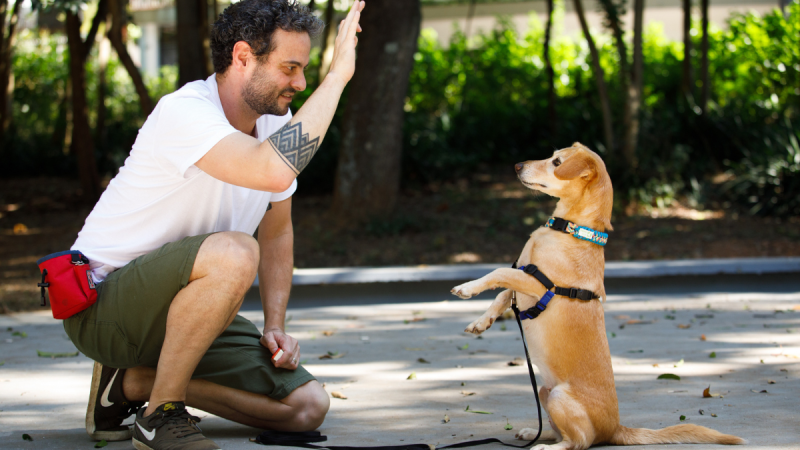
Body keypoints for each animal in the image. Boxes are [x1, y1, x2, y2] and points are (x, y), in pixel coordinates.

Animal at [450, 144, 744, 450]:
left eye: (556, 162)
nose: (517, 166)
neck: (570, 229)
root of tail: (615, 429)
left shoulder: (536, 284)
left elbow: (499, 273)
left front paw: (467, 288)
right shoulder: (523, 278)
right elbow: (503, 294)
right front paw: (480, 322)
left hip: (559, 397)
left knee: (578, 441)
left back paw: (546, 446)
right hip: (544, 391)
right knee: (560, 431)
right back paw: (534, 433)